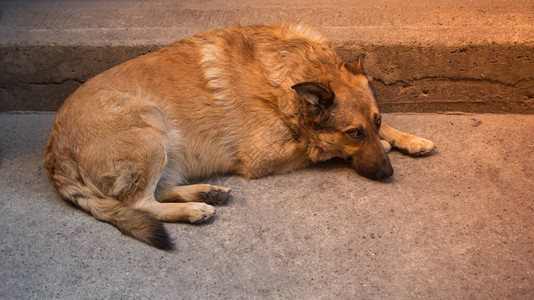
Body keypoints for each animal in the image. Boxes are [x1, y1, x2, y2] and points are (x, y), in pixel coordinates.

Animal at [43, 23, 436, 250]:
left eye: (375, 120)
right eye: (353, 133)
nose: (388, 174)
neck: (288, 72)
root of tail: (53, 153)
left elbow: (387, 129)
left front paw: (408, 138)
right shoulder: (264, 155)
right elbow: (317, 147)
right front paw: (383, 144)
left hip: (168, 147)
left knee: (159, 191)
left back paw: (206, 193)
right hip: (151, 129)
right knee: (139, 202)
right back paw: (194, 209)